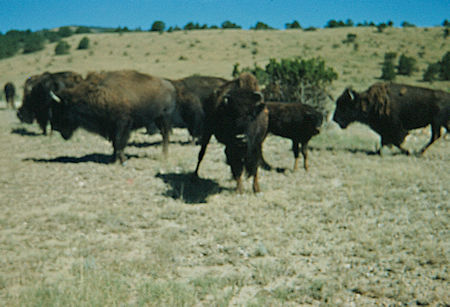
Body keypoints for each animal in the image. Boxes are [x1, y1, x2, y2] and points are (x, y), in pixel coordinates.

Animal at [48, 70, 176, 165]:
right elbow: (115, 143)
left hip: (164, 118)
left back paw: (164, 155)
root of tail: (170, 86)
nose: (55, 127)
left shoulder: (122, 124)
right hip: (158, 119)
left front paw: (122, 160)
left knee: (165, 135)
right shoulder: (111, 127)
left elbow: (119, 142)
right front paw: (113, 160)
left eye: (60, 109)